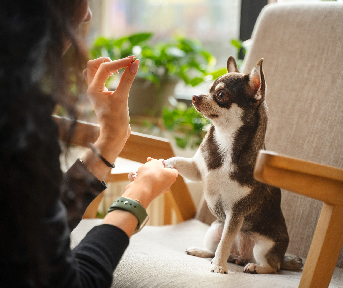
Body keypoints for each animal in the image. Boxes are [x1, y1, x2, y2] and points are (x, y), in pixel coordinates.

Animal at [163, 56, 302, 274]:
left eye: (220, 95)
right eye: (209, 89)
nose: (195, 96)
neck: (225, 141)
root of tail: (241, 255)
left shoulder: (236, 213)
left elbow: (226, 241)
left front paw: (219, 267)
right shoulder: (197, 170)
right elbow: (179, 161)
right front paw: (165, 163)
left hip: (264, 246)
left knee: (273, 267)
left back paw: (254, 267)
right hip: (214, 229)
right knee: (215, 248)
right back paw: (202, 251)